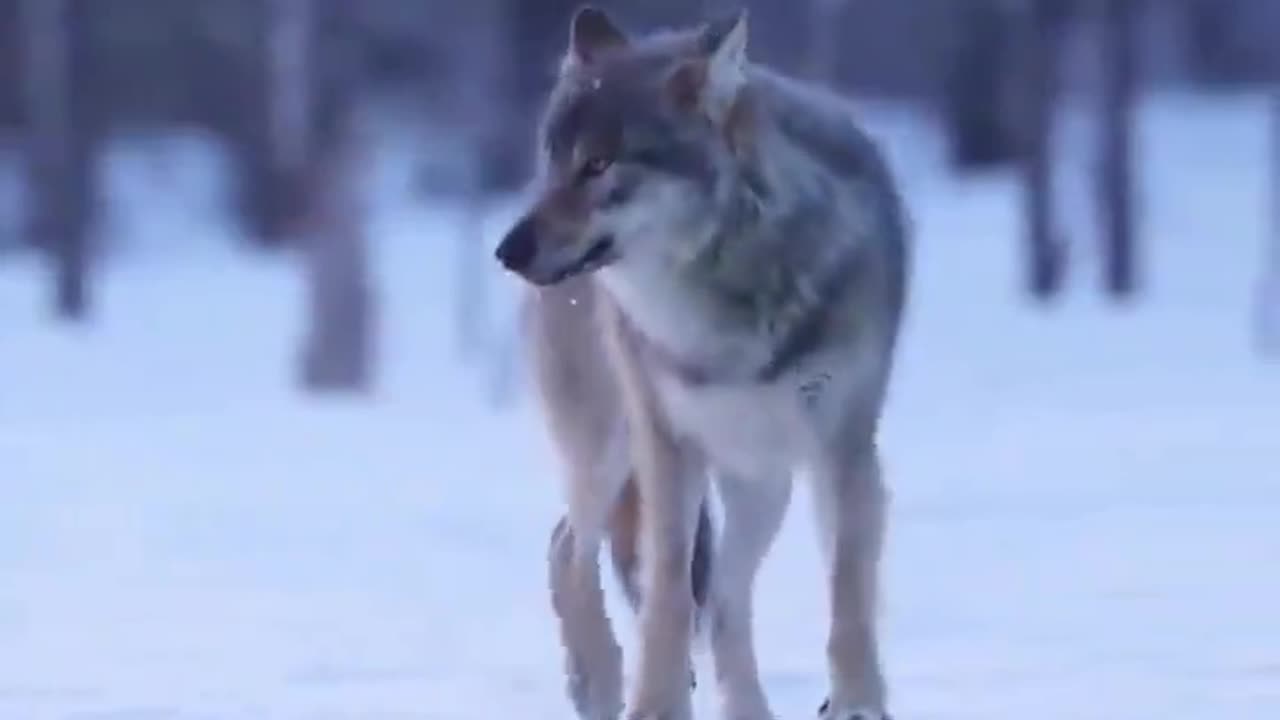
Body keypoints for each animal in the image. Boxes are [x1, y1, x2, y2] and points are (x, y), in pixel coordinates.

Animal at [491, 7, 911, 717]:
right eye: (555, 162)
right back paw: (597, 679)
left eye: (598, 164)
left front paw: (857, 702)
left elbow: (849, 597)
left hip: (763, 480)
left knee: (724, 600)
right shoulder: (667, 445)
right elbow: (665, 595)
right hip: (610, 449)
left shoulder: (846, 449)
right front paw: (653, 705)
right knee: (567, 548)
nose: (508, 250)